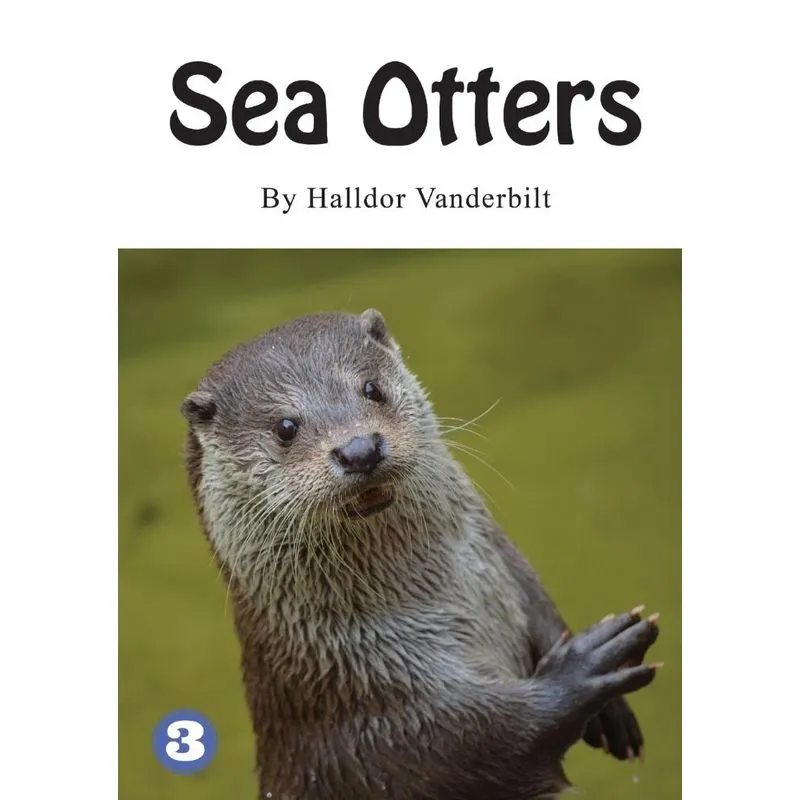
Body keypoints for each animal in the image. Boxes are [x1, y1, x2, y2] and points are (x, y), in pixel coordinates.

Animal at [181, 309, 661, 800]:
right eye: (285, 427)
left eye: (371, 388)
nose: (358, 448)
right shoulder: (377, 721)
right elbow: (480, 741)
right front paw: (584, 669)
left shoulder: (509, 569)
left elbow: (541, 607)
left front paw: (612, 711)